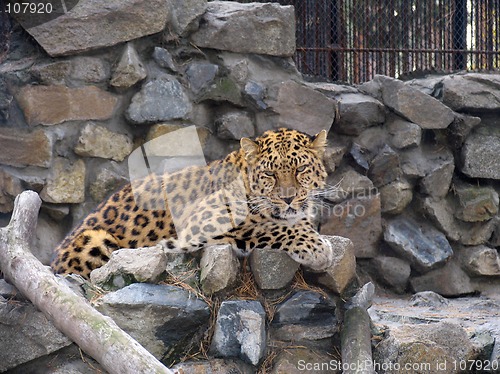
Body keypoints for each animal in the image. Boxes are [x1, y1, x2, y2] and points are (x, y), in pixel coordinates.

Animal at [50, 127, 334, 280]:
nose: (288, 198)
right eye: (269, 174)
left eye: (300, 170)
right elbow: (272, 227)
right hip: (93, 239)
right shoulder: (202, 223)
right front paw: (318, 249)